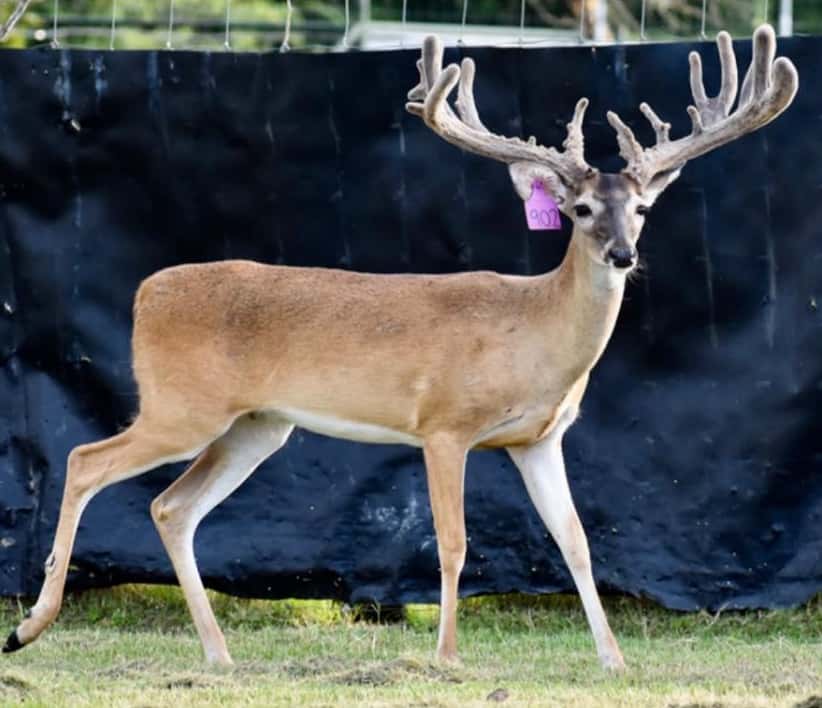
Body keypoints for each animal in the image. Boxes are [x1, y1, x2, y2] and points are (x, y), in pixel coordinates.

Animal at [3, 24, 797, 670]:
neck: (534, 334)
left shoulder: (539, 439)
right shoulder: (444, 425)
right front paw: (447, 657)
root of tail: (146, 294)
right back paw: (31, 626)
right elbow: (453, 542)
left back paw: (218, 654)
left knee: (172, 508)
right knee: (84, 461)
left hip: (256, 425)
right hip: (181, 405)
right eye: (577, 210)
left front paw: (614, 660)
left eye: (642, 207)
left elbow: (576, 541)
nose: (624, 255)